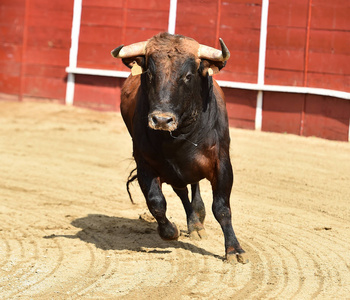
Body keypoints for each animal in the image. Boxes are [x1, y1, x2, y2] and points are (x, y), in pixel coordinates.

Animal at [110, 31, 247, 264]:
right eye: (150, 74)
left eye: (188, 76)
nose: (161, 120)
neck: (180, 135)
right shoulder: (145, 163)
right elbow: (156, 202)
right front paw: (170, 231)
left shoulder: (221, 163)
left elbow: (222, 207)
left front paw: (234, 250)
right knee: (182, 191)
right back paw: (194, 223)